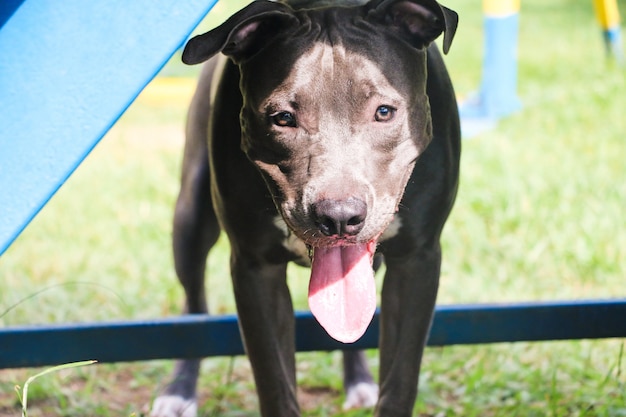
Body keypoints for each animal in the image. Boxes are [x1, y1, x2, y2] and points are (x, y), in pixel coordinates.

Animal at [149, 1, 456, 414]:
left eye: (384, 112)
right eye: (283, 118)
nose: (339, 216)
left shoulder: (416, 260)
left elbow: (400, 380)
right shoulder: (255, 268)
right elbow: (275, 384)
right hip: (190, 219)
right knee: (194, 303)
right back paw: (179, 389)